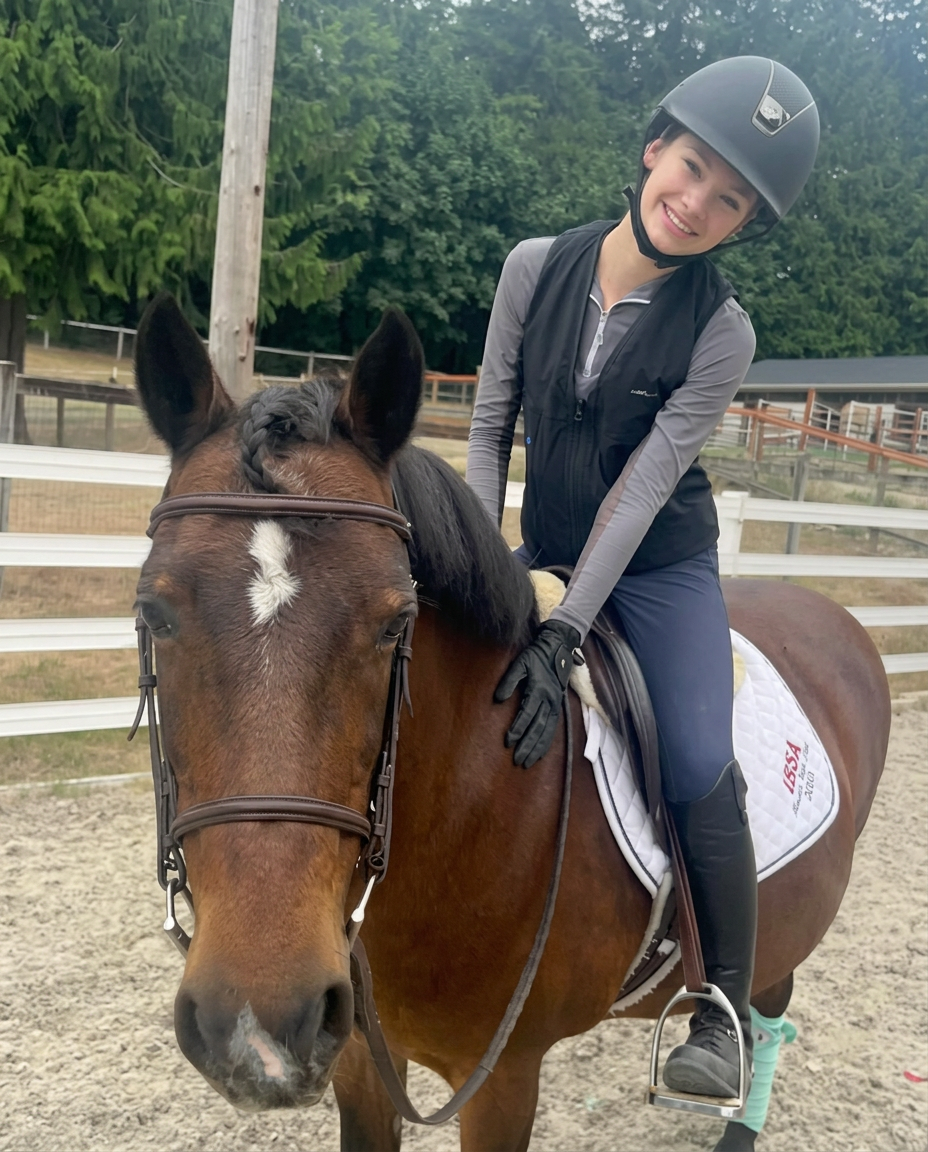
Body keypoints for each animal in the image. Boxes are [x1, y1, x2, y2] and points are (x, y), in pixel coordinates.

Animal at [133, 293, 890, 1152]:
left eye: (396, 624)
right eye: (153, 612)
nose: (258, 1027)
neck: (473, 810)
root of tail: (835, 613)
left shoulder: (501, 1079)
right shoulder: (357, 1059)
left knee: (766, 1012)